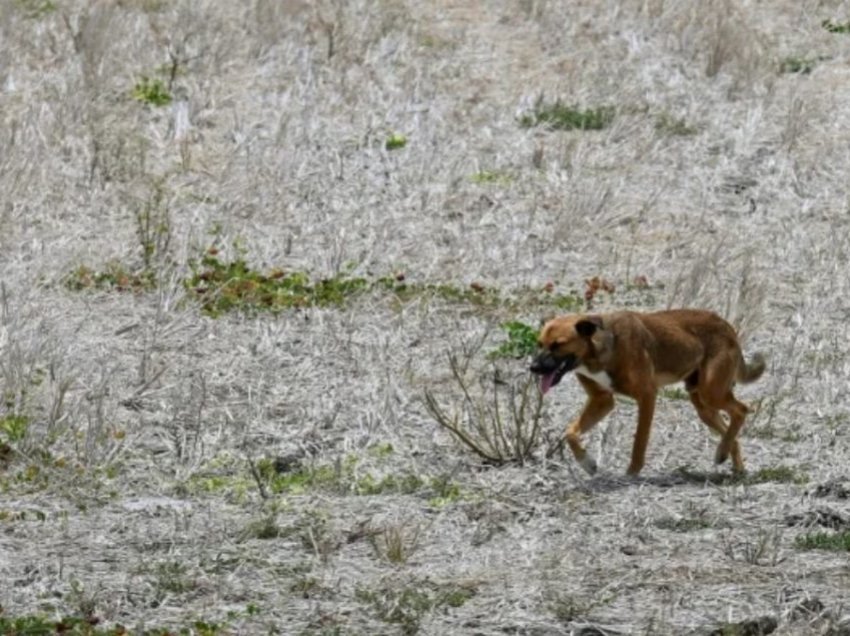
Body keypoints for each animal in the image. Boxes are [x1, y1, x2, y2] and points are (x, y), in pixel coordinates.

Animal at [528, 308, 760, 476]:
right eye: (539, 343)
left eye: (558, 345)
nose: (533, 368)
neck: (600, 351)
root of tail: (727, 327)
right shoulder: (602, 401)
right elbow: (570, 432)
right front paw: (587, 463)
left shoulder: (647, 396)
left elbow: (639, 439)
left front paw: (632, 471)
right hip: (703, 404)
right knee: (730, 428)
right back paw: (732, 462)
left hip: (712, 392)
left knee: (741, 410)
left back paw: (723, 452)